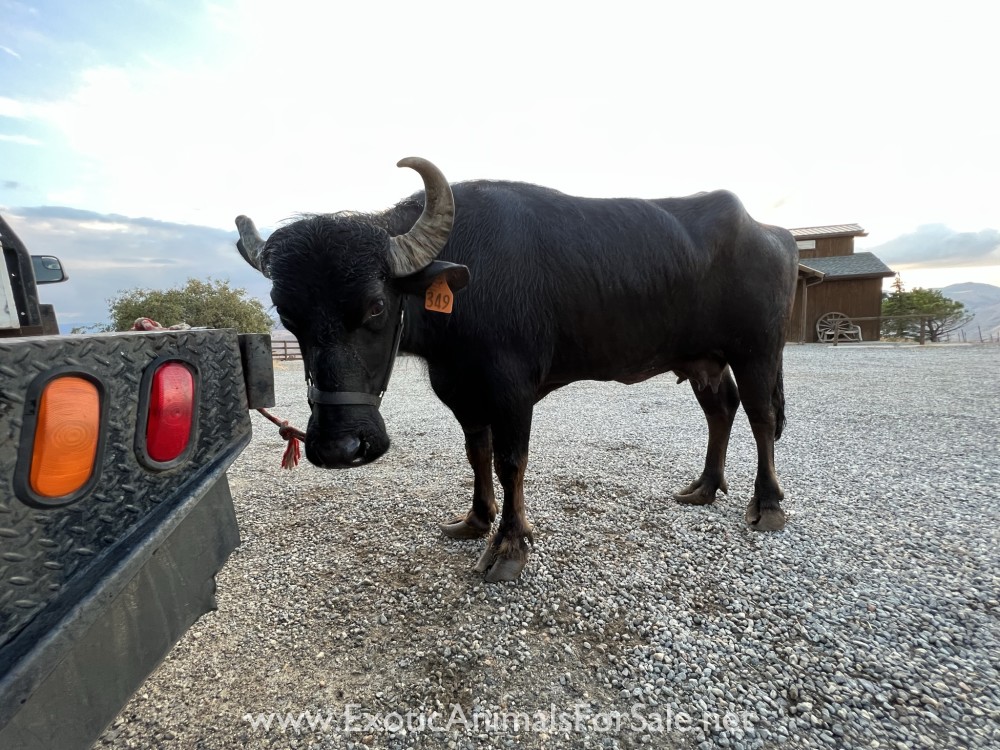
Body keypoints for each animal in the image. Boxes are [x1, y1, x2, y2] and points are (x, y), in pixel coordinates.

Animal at [236, 157, 799, 581]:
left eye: (376, 306)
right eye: (287, 315)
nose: (339, 448)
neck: (466, 283)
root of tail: (773, 234)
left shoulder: (512, 391)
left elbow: (510, 462)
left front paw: (508, 547)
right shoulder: (460, 390)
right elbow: (476, 453)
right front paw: (475, 519)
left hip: (758, 350)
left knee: (762, 417)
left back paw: (768, 505)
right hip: (705, 360)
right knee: (721, 409)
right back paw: (704, 486)